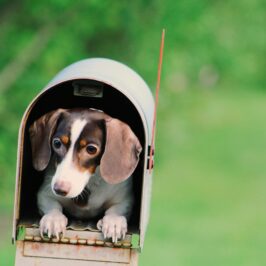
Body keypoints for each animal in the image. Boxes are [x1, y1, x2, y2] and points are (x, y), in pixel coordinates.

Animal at [29, 107, 142, 242]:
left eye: (91, 149)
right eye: (56, 143)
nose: (59, 189)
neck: (89, 183)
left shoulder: (125, 199)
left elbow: (116, 210)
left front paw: (114, 222)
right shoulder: (44, 194)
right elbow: (53, 206)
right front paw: (53, 219)